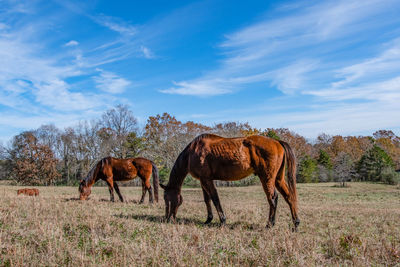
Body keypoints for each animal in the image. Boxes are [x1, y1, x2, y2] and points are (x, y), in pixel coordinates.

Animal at [160, 135, 300, 231]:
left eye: (166, 198)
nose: (168, 219)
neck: (193, 151)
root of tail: (277, 142)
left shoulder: (207, 180)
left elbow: (215, 199)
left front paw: (222, 221)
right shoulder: (203, 180)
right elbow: (207, 200)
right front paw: (208, 219)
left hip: (267, 178)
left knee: (273, 198)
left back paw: (270, 224)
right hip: (278, 179)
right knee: (289, 197)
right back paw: (296, 223)